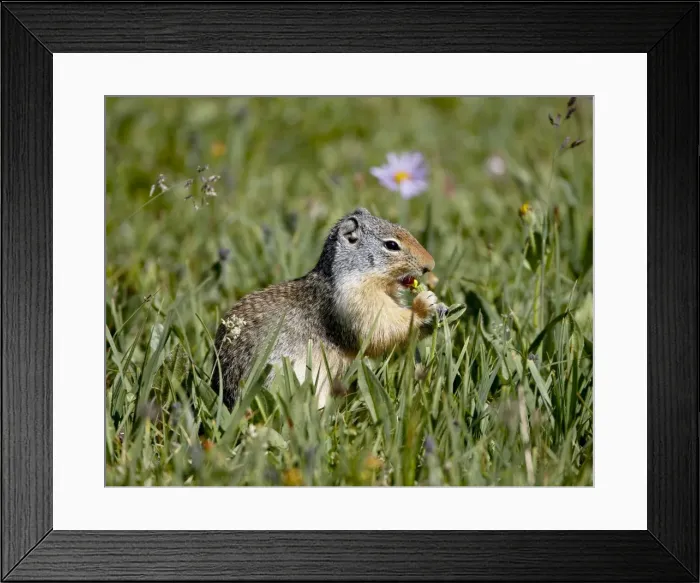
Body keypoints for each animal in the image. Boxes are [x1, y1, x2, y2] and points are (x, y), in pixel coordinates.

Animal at [211, 207, 447, 410]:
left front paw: (441, 309)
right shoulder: (355, 301)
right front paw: (425, 303)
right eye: (391, 245)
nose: (431, 265)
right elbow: (382, 328)